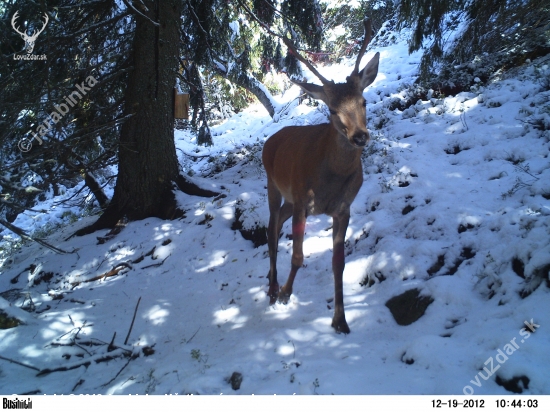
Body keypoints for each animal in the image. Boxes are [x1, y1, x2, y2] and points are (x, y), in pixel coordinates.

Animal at [264, 20, 380, 334]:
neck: (330, 181)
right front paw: (286, 293)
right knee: (271, 229)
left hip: (290, 199)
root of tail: (271, 139)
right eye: (331, 109)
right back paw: (273, 288)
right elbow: (298, 255)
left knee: (276, 224)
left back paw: (271, 283)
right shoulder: (303, 198)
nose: (360, 136)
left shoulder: (343, 208)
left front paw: (340, 320)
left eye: (364, 101)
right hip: (272, 184)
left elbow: (338, 263)